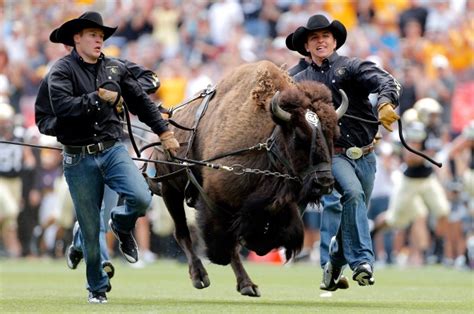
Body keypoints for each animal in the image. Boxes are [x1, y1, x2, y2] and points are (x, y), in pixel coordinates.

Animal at [149, 59, 348, 296]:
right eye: (299, 136)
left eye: (334, 135)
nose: (324, 182)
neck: (268, 139)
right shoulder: (215, 200)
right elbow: (224, 242)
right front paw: (220, 258)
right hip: (170, 190)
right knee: (182, 233)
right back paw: (203, 277)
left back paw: (247, 285)